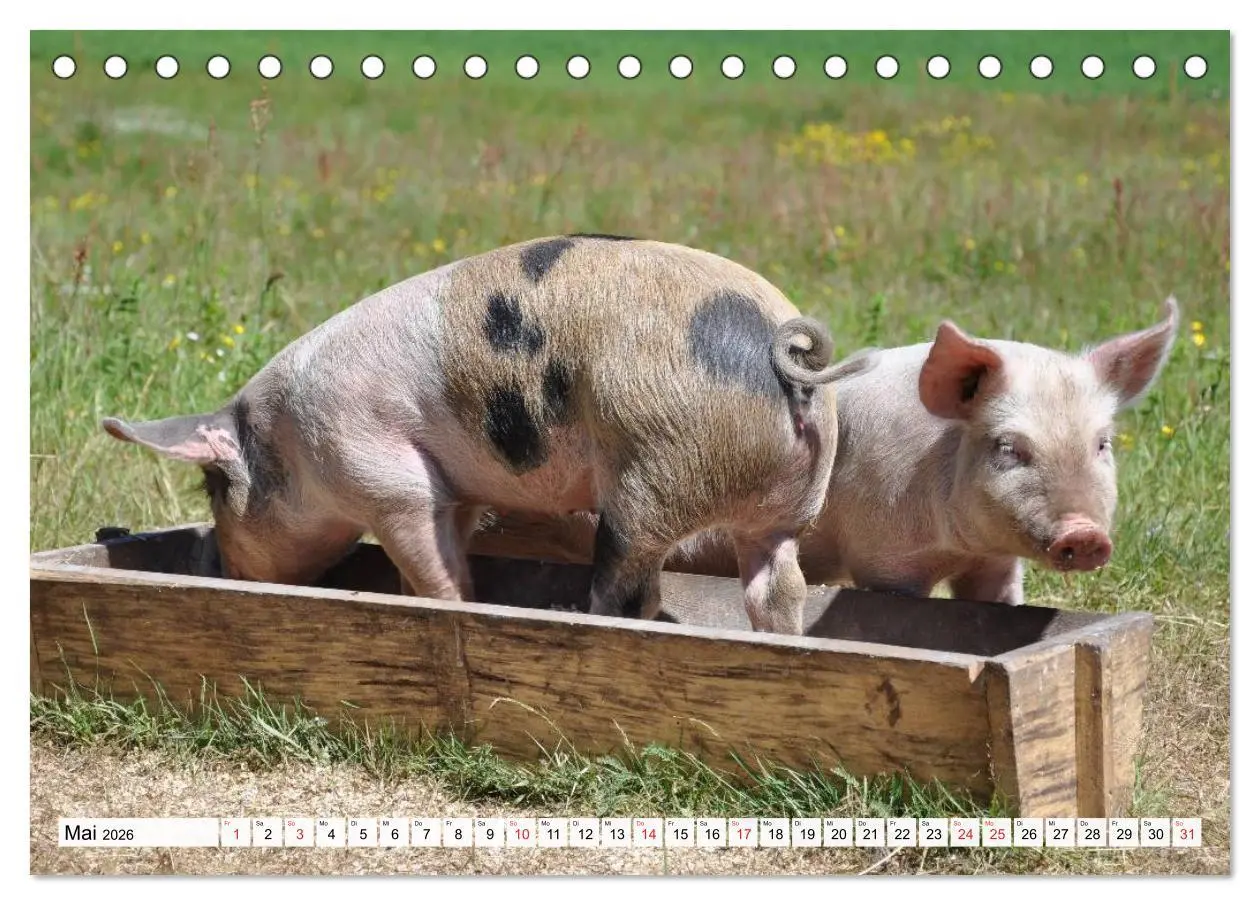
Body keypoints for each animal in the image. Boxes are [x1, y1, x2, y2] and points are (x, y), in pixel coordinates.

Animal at [101, 236, 867, 634]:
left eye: (214, 487)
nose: (225, 568)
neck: (289, 441)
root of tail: (784, 352)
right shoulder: (459, 487)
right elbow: (450, 548)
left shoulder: (383, 475)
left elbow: (432, 564)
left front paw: (450, 610)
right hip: (787, 508)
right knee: (778, 586)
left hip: (655, 470)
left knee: (630, 588)